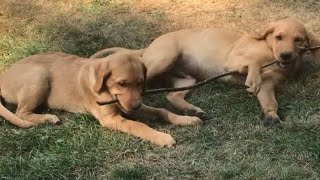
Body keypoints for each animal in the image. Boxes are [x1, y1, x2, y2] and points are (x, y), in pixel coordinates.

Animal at [0, 51, 200, 146]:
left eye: (141, 82)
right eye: (121, 83)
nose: (135, 106)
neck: (107, 92)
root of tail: (3, 76)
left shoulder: (129, 106)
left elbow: (161, 111)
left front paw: (186, 119)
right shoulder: (111, 118)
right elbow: (139, 125)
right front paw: (161, 136)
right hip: (39, 76)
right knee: (21, 112)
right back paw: (48, 118)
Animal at [90, 17, 320, 126]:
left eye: (299, 40)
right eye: (279, 37)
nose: (286, 56)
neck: (270, 52)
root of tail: (147, 48)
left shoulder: (268, 85)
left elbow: (270, 102)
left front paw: (271, 115)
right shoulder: (233, 60)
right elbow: (253, 63)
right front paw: (252, 77)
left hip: (187, 79)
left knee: (171, 96)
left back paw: (192, 110)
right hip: (164, 59)